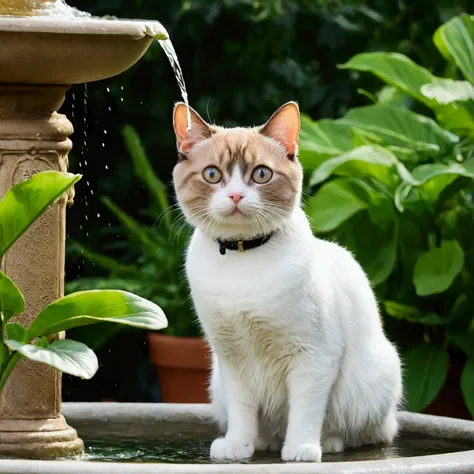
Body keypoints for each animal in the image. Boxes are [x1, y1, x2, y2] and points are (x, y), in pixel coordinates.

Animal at [172, 102, 402, 462]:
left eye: (261, 174)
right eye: (212, 174)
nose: (236, 195)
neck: (243, 258)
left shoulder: (314, 355)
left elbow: (305, 410)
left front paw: (300, 450)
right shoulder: (232, 358)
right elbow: (242, 409)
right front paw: (238, 446)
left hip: (372, 382)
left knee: (366, 431)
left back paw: (327, 443)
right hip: (217, 383)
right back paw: (261, 442)